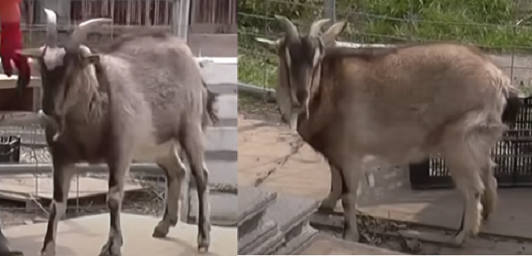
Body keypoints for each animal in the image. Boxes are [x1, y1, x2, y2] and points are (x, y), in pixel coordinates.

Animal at [17, 9, 216, 255]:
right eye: (43, 69)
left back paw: (203, 238)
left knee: (201, 175)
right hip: (158, 143)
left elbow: (113, 198)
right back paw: (164, 225)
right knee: (177, 170)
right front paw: (47, 247)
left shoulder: (120, 152)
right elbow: (57, 204)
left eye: (73, 68)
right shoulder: (62, 158)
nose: (48, 109)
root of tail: (186, 53)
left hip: (190, 128)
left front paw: (112, 245)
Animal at [256, 15, 520, 246]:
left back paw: (462, 236)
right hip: (479, 139)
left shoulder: (350, 153)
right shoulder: (336, 152)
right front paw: (327, 204)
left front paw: (350, 235)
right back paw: (486, 215)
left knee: (473, 188)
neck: (326, 89)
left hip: (458, 142)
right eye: (285, 56)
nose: (301, 95)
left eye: (317, 58)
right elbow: (334, 179)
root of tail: (501, 81)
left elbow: (349, 196)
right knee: (489, 173)